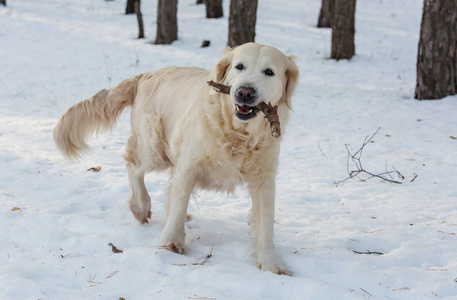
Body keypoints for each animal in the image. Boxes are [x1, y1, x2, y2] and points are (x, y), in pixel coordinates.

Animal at [53, 43, 300, 276]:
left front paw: (272, 265)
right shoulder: (189, 165)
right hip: (154, 147)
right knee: (133, 165)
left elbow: (265, 223)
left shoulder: (264, 179)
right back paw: (141, 206)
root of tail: (145, 75)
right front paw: (171, 243)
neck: (237, 133)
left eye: (269, 72)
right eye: (239, 66)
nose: (245, 92)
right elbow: (180, 203)